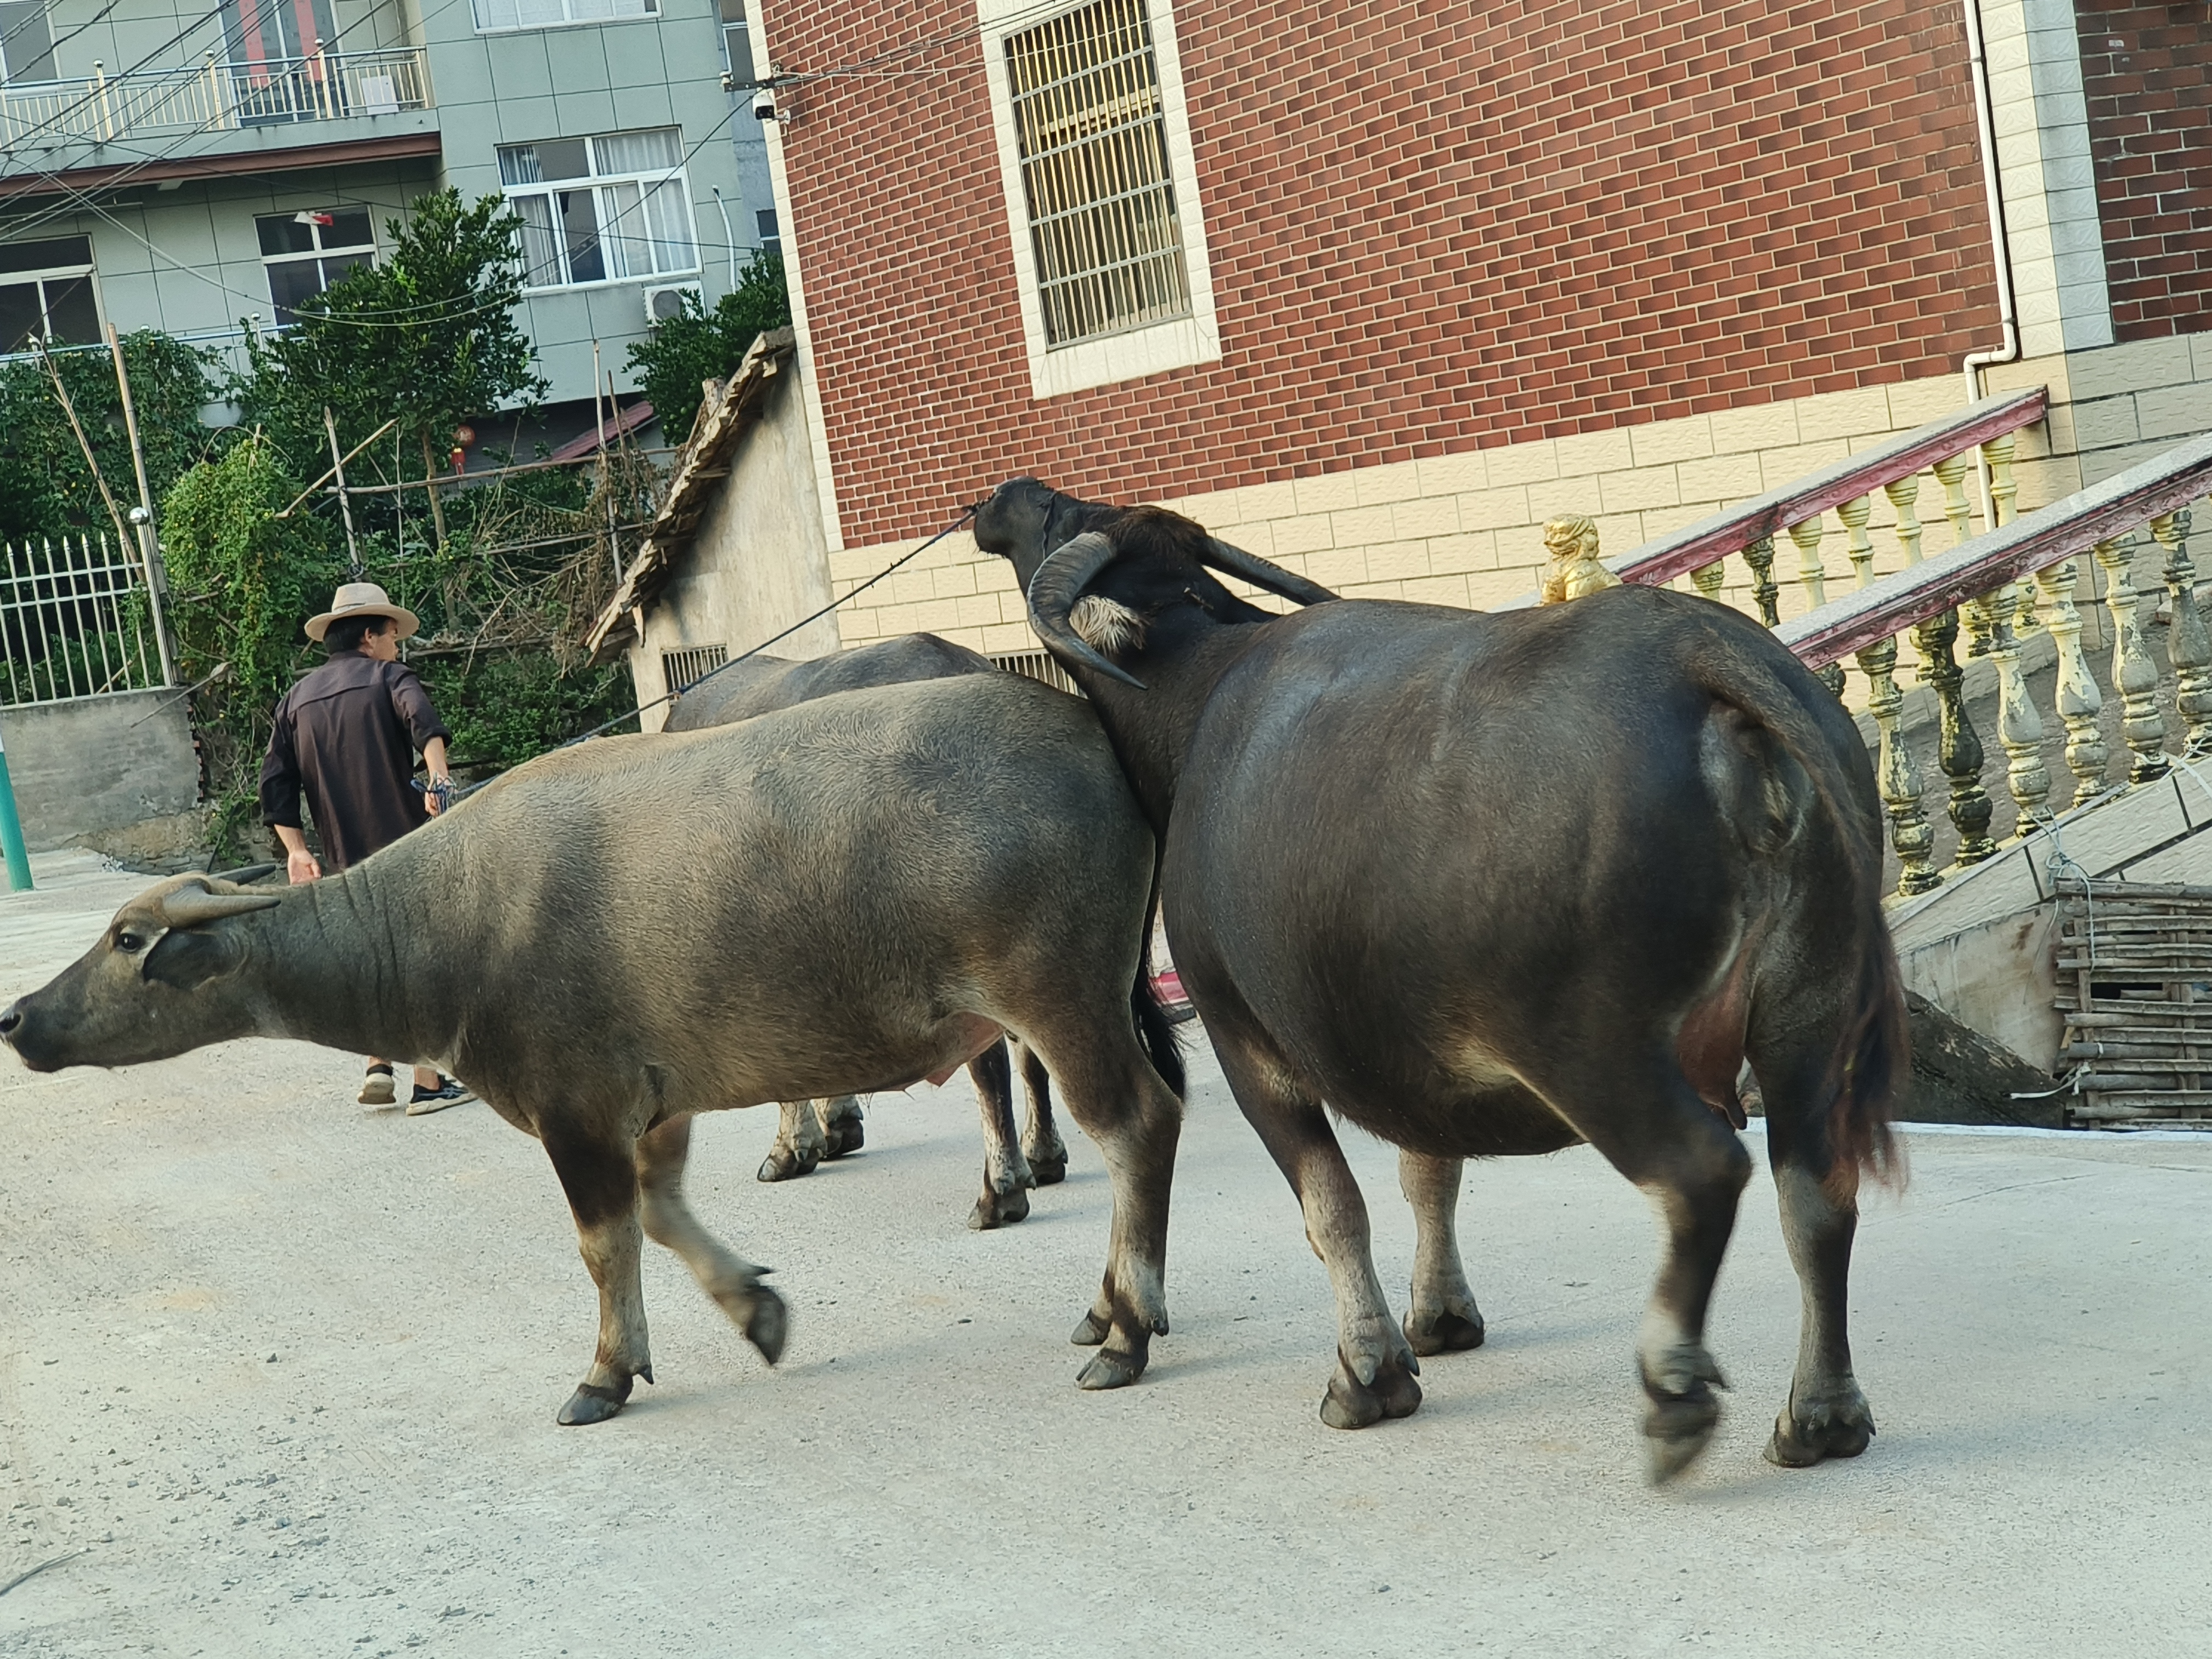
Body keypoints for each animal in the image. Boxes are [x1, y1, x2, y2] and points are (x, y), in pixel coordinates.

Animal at [659, 628, 1066, 1229]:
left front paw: (792, 1149)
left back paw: (1001, 1190)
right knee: (1029, 1047)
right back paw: (1042, 1157)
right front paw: (837, 1127)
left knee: (989, 1061)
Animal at [978, 477, 1911, 1477]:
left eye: (1059, 521)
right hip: (1808, 1021)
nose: (1011, 497)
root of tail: (1707, 663)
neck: (1194, 702)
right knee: (1817, 1196)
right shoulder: (1411, 1051)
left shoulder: (1244, 1039)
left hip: (1595, 1049)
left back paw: (1675, 1392)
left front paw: (1368, 1372)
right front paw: (1439, 1318)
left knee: (1701, 1174)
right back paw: (1819, 1414)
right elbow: (1428, 1175)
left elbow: (1332, 1206)